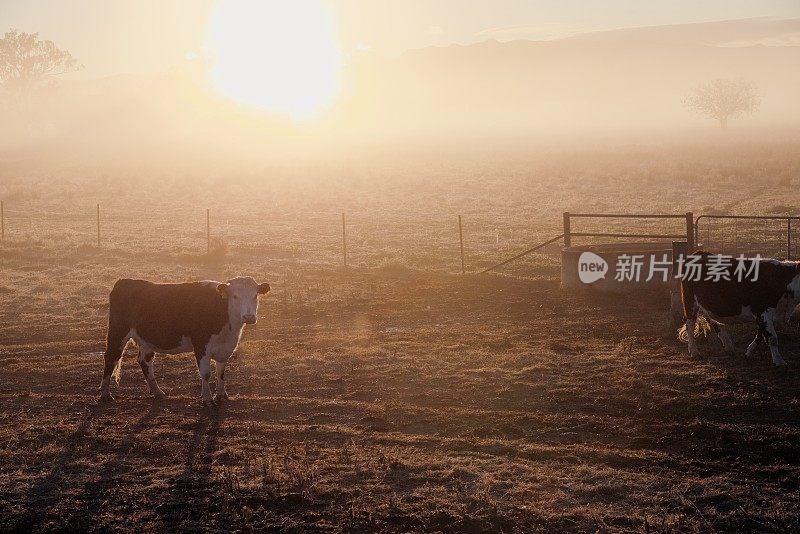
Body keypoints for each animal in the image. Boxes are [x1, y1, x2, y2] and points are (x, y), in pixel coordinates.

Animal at [99, 276, 268, 406]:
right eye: (235, 296)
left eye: (255, 295)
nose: (249, 317)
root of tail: (125, 281)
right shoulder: (201, 345)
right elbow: (206, 373)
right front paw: (207, 399)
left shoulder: (225, 348)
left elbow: (221, 372)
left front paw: (221, 395)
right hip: (118, 332)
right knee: (111, 357)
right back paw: (105, 393)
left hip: (147, 340)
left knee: (144, 361)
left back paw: (157, 392)